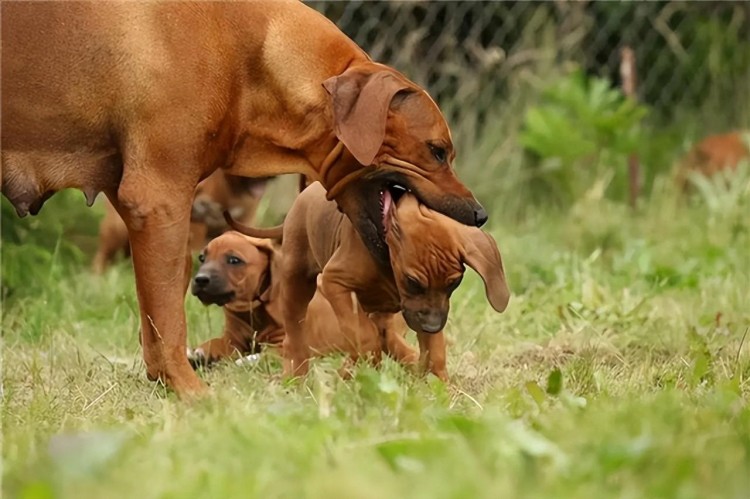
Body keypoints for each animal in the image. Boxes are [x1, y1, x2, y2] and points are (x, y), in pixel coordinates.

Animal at [229, 182, 512, 380]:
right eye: (412, 281)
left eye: (454, 283)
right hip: (296, 284)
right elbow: (365, 339)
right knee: (298, 337)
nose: (432, 326)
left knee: (384, 335)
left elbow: (433, 352)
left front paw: (441, 387)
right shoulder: (335, 283)